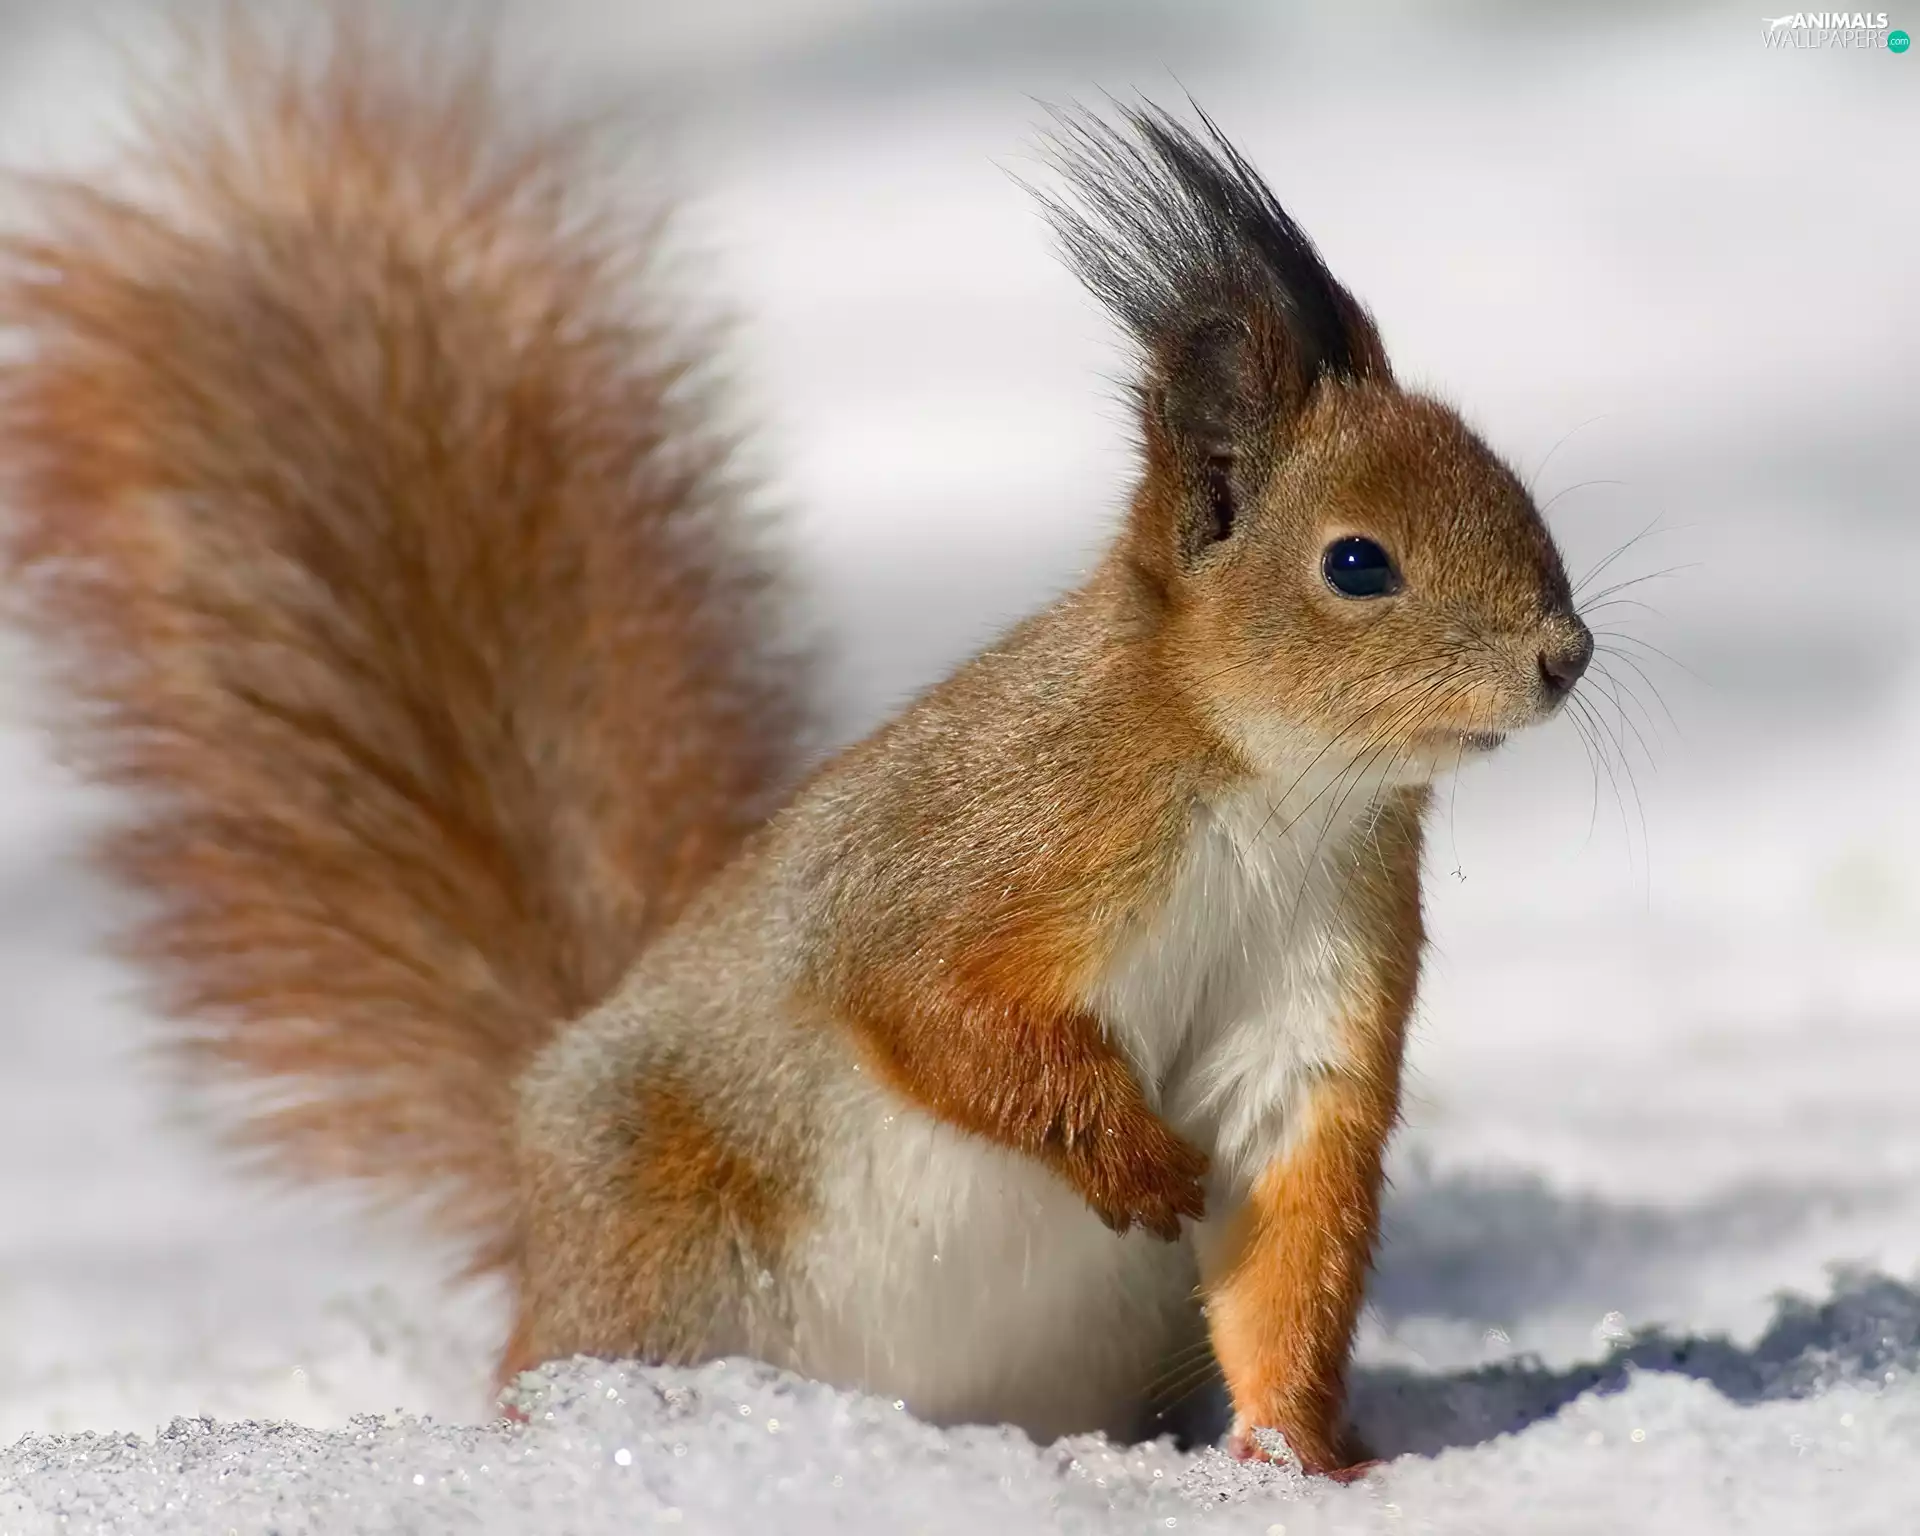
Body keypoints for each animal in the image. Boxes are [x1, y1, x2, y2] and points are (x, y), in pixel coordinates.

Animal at [0, 20, 1591, 1478]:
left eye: (1519, 493)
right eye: (1357, 564)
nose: (1564, 657)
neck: (1271, 791)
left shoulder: (1319, 979)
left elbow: (1287, 1223)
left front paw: (1297, 1459)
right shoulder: (984, 841)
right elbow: (922, 1002)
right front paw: (1128, 1154)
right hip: (664, 1254)